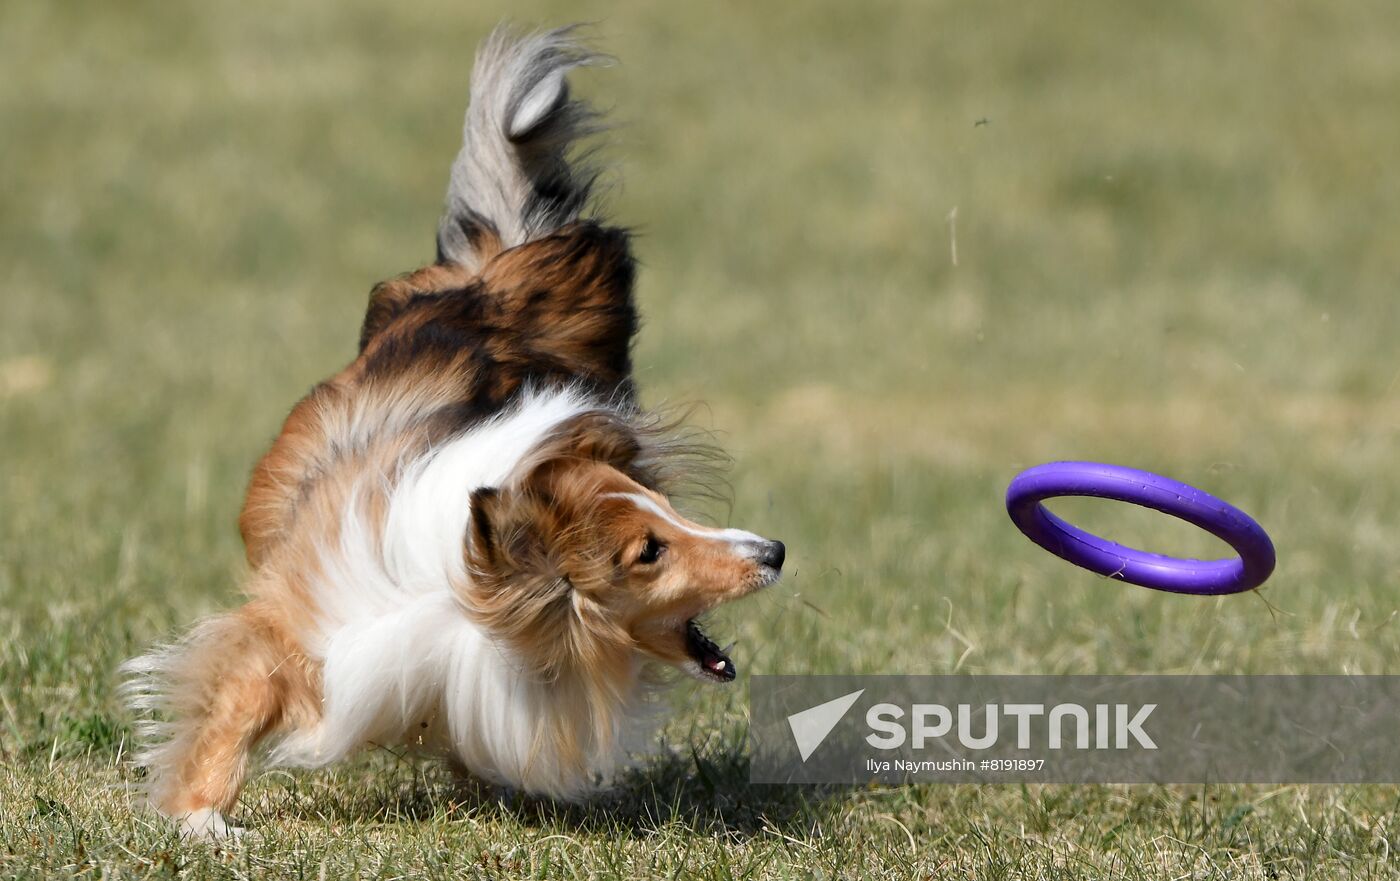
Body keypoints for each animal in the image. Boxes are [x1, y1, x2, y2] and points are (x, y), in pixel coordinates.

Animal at [121, 25, 784, 840]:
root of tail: (497, 261)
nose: (773, 551)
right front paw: (203, 820)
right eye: (648, 551)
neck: (463, 580)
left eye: (666, 511)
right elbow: (239, 700)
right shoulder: (300, 617)